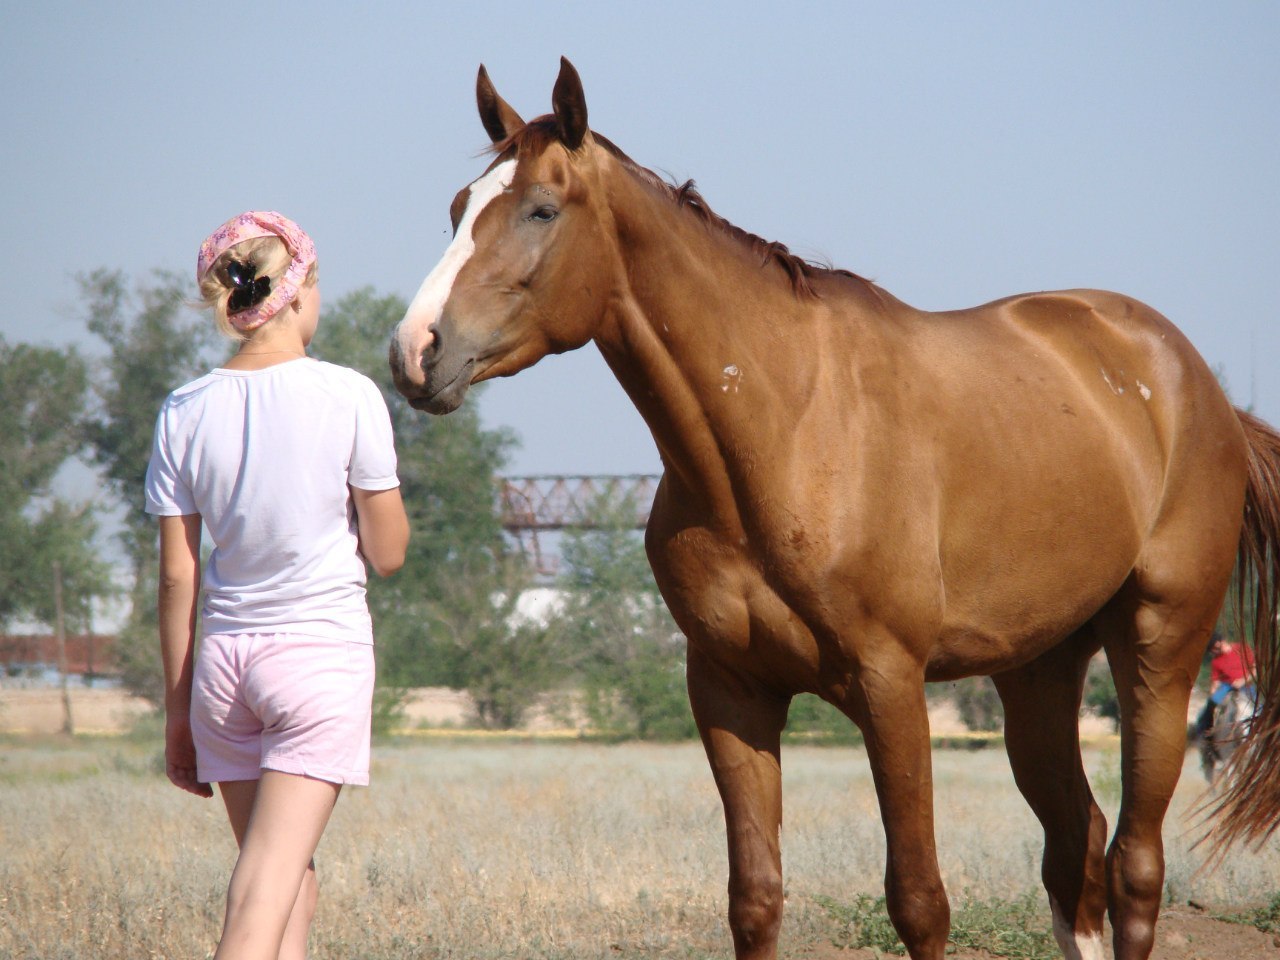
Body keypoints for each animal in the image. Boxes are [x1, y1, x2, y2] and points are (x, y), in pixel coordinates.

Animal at [389, 60, 1280, 960]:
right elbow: (755, 898)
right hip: (1037, 669)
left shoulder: (891, 686)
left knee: (1134, 864)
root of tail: (1195, 385)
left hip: (1159, 648)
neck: (783, 431)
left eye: (541, 209)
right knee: (1076, 851)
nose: (415, 351)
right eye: (459, 207)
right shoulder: (730, 690)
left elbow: (919, 901)